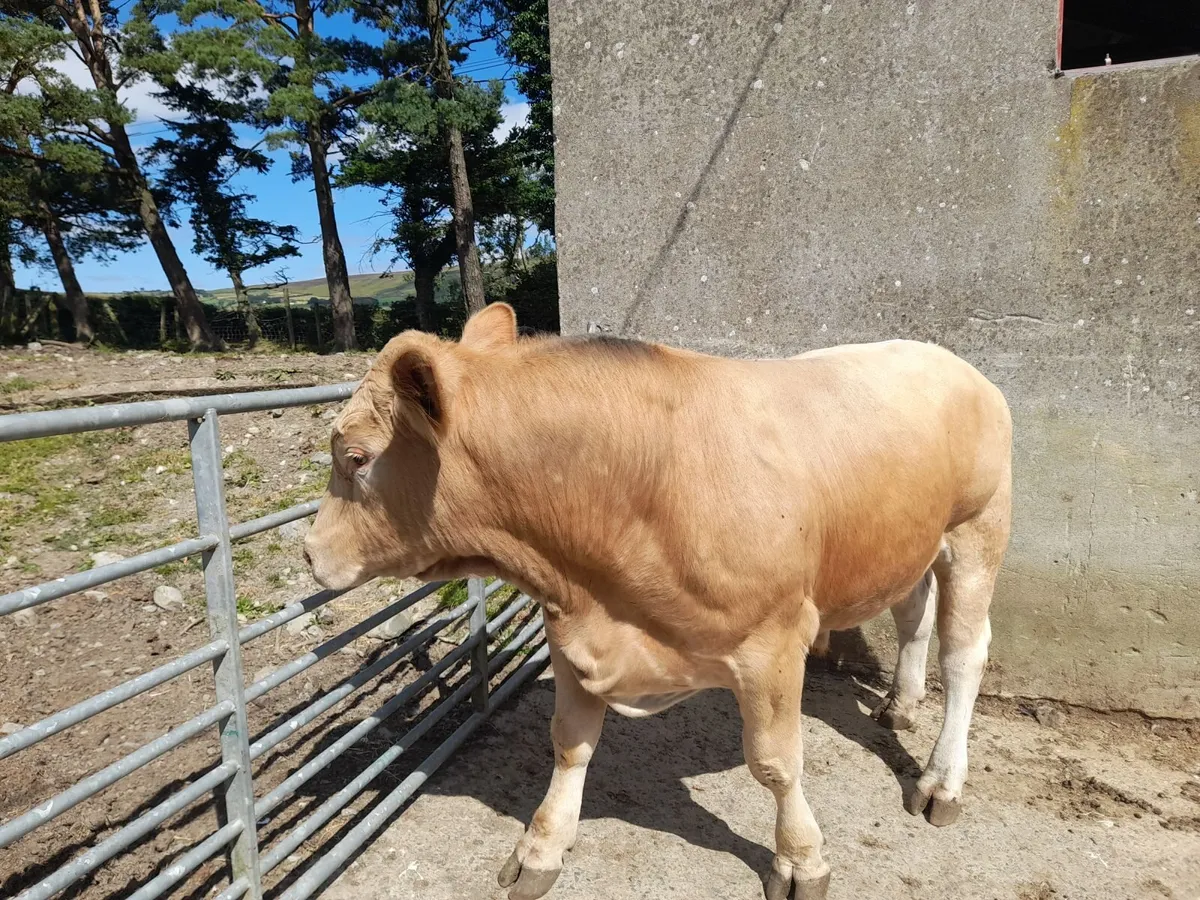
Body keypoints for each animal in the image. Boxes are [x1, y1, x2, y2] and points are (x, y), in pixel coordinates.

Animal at [303, 303, 1012, 900]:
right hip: (911, 540)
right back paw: (900, 704)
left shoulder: (775, 641)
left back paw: (940, 781)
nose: (309, 552)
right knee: (912, 611)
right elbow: (569, 743)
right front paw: (541, 847)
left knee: (964, 652)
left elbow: (777, 764)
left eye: (357, 457)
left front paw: (801, 859)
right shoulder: (572, 631)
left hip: (978, 528)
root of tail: (943, 355)